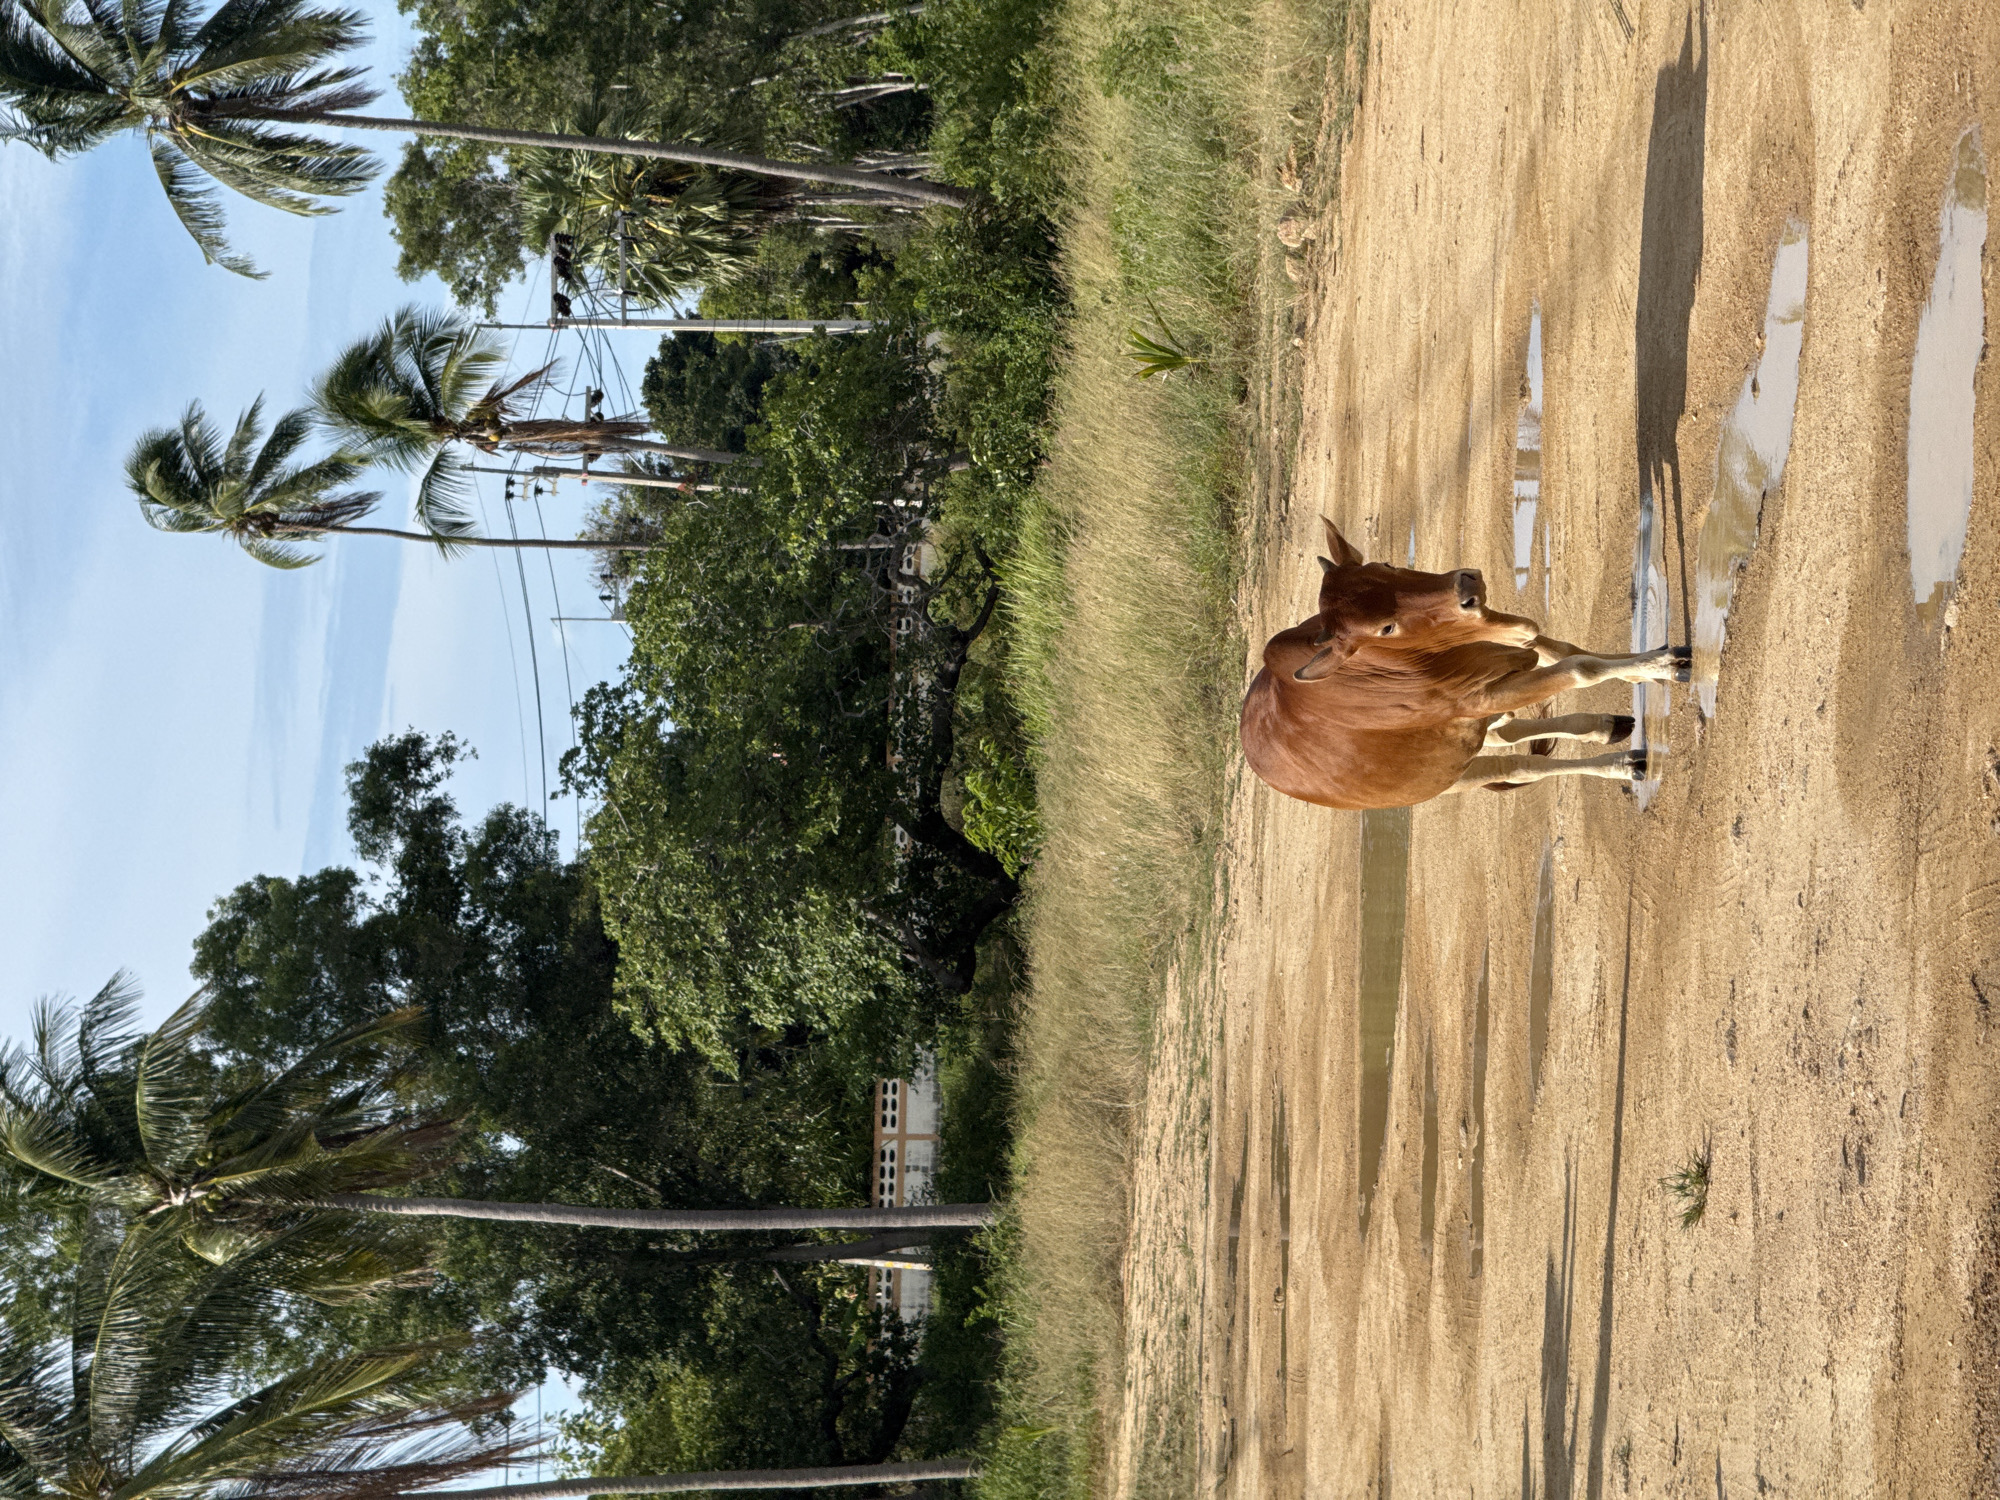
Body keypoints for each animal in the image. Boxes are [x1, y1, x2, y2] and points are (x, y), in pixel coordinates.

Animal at [1239, 519, 1689, 810]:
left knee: (1509, 732)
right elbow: (1580, 668)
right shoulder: (1486, 694)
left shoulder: (1515, 642)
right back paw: (1625, 763)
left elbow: (1569, 650)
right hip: (1455, 776)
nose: (1467, 587)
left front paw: (1648, 667)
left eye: (1384, 564)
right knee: (1521, 765)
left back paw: (1607, 727)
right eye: (1385, 628)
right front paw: (1665, 665)